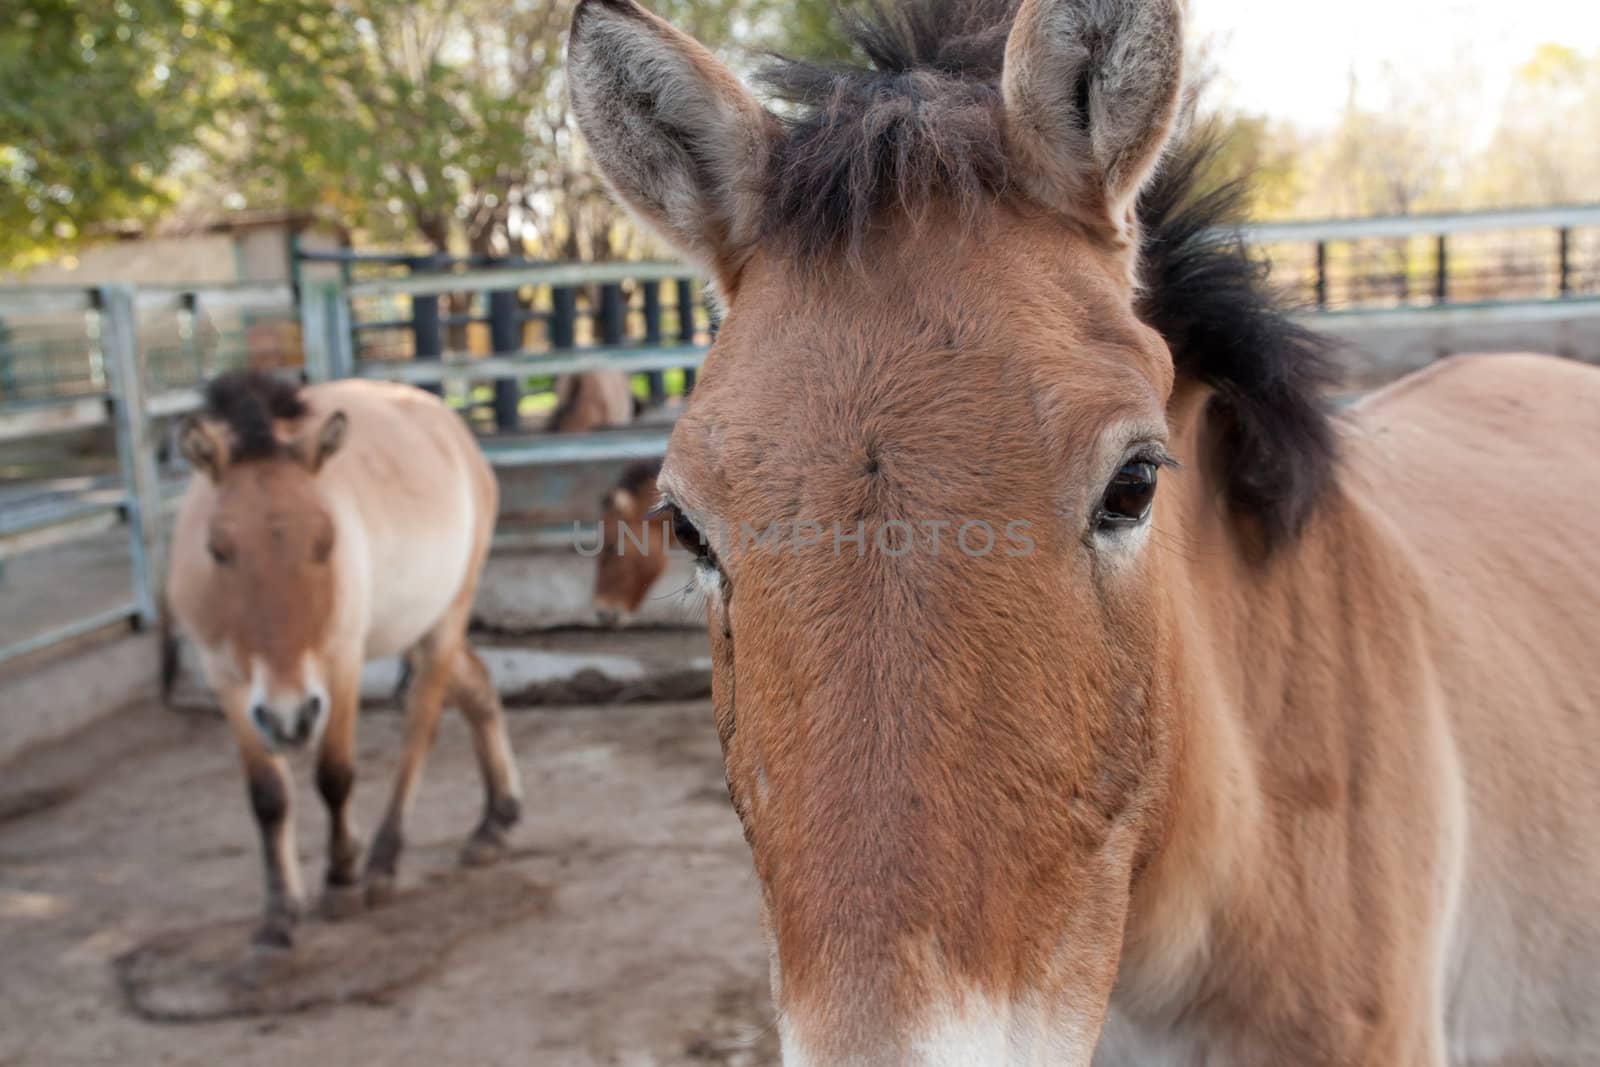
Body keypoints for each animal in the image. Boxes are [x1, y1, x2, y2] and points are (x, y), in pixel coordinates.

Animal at [165, 371, 521, 947]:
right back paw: (496, 821)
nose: (289, 719)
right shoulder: (226, 680)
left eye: (324, 542)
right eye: (217, 550)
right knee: (478, 687)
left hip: (446, 619)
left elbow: (334, 775)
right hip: (418, 624)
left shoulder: (340, 662)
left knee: (421, 724)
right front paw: (279, 912)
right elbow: (267, 795)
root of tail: (445, 421)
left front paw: (340, 879)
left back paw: (383, 861)